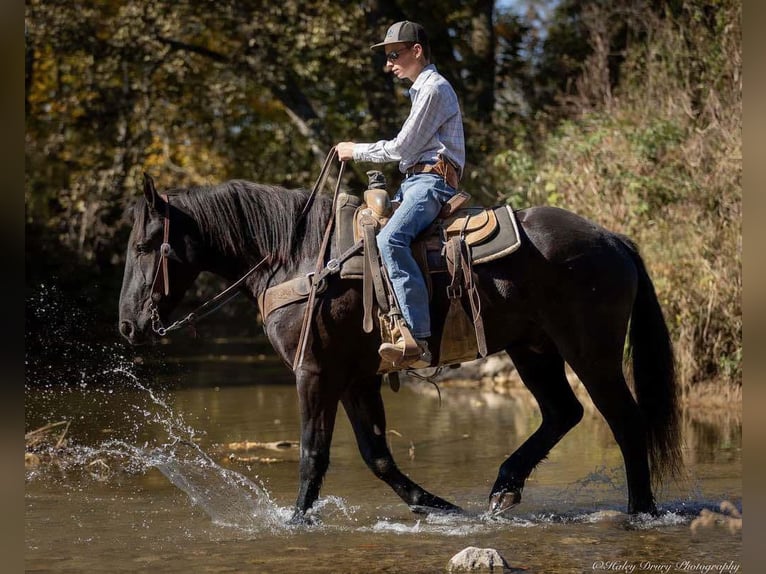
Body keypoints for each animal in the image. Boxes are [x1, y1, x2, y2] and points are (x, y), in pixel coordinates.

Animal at [120, 173, 684, 520]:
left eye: (145, 246)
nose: (127, 325)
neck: (300, 258)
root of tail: (613, 239)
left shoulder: (315, 372)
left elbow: (313, 452)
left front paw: (296, 521)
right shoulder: (355, 376)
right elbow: (377, 455)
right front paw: (435, 506)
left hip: (590, 353)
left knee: (623, 420)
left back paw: (640, 511)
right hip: (534, 350)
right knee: (564, 412)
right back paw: (505, 487)